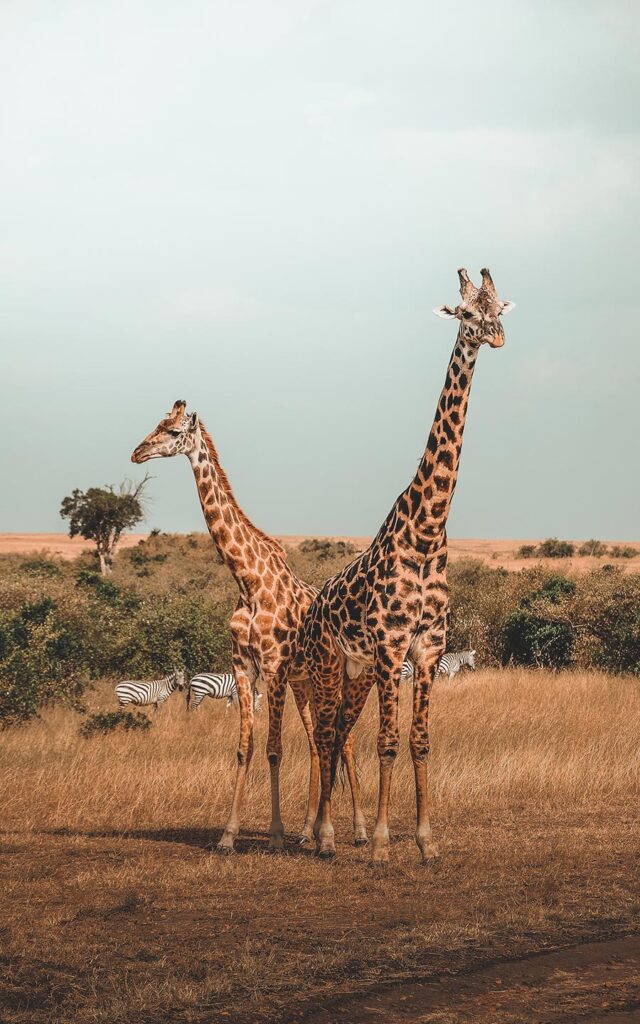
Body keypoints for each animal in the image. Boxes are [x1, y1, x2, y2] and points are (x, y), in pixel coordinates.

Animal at [131, 402, 367, 852]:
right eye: (155, 424)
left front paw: (273, 835)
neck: (248, 581)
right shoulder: (244, 666)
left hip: (332, 677)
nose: (137, 453)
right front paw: (228, 835)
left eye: (172, 431)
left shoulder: (273, 667)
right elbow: (246, 748)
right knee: (318, 742)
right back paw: (307, 831)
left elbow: (274, 749)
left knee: (343, 740)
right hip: (304, 684)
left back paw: (359, 831)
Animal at [302, 268, 515, 863]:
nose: (495, 337)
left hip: (354, 671)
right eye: (466, 313)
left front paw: (425, 841)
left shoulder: (428, 647)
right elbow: (388, 742)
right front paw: (379, 844)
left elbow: (419, 742)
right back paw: (322, 836)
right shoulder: (391, 645)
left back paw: (331, 832)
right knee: (326, 735)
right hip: (329, 662)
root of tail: (314, 605)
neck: (426, 532)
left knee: (339, 733)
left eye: (499, 310)